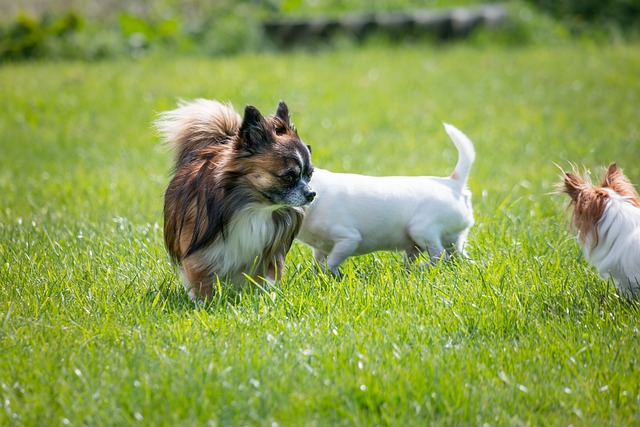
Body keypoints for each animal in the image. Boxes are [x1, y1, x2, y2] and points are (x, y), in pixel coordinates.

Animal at [155, 100, 316, 300]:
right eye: (288, 177)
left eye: (309, 175)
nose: (312, 194)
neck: (254, 208)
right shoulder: (199, 255)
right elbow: (201, 283)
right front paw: (204, 303)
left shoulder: (268, 254)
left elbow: (264, 279)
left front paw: (262, 298)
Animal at [296, 123, 476, 276]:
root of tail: (453, 183)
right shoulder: (321, 249)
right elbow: (318, 264)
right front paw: (318, 277)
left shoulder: (348, 240)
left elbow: (331, 263)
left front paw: (331, 276)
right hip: (449, 240)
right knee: (455, 257)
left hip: (421, 230)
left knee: (439, 256)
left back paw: (421, 268)